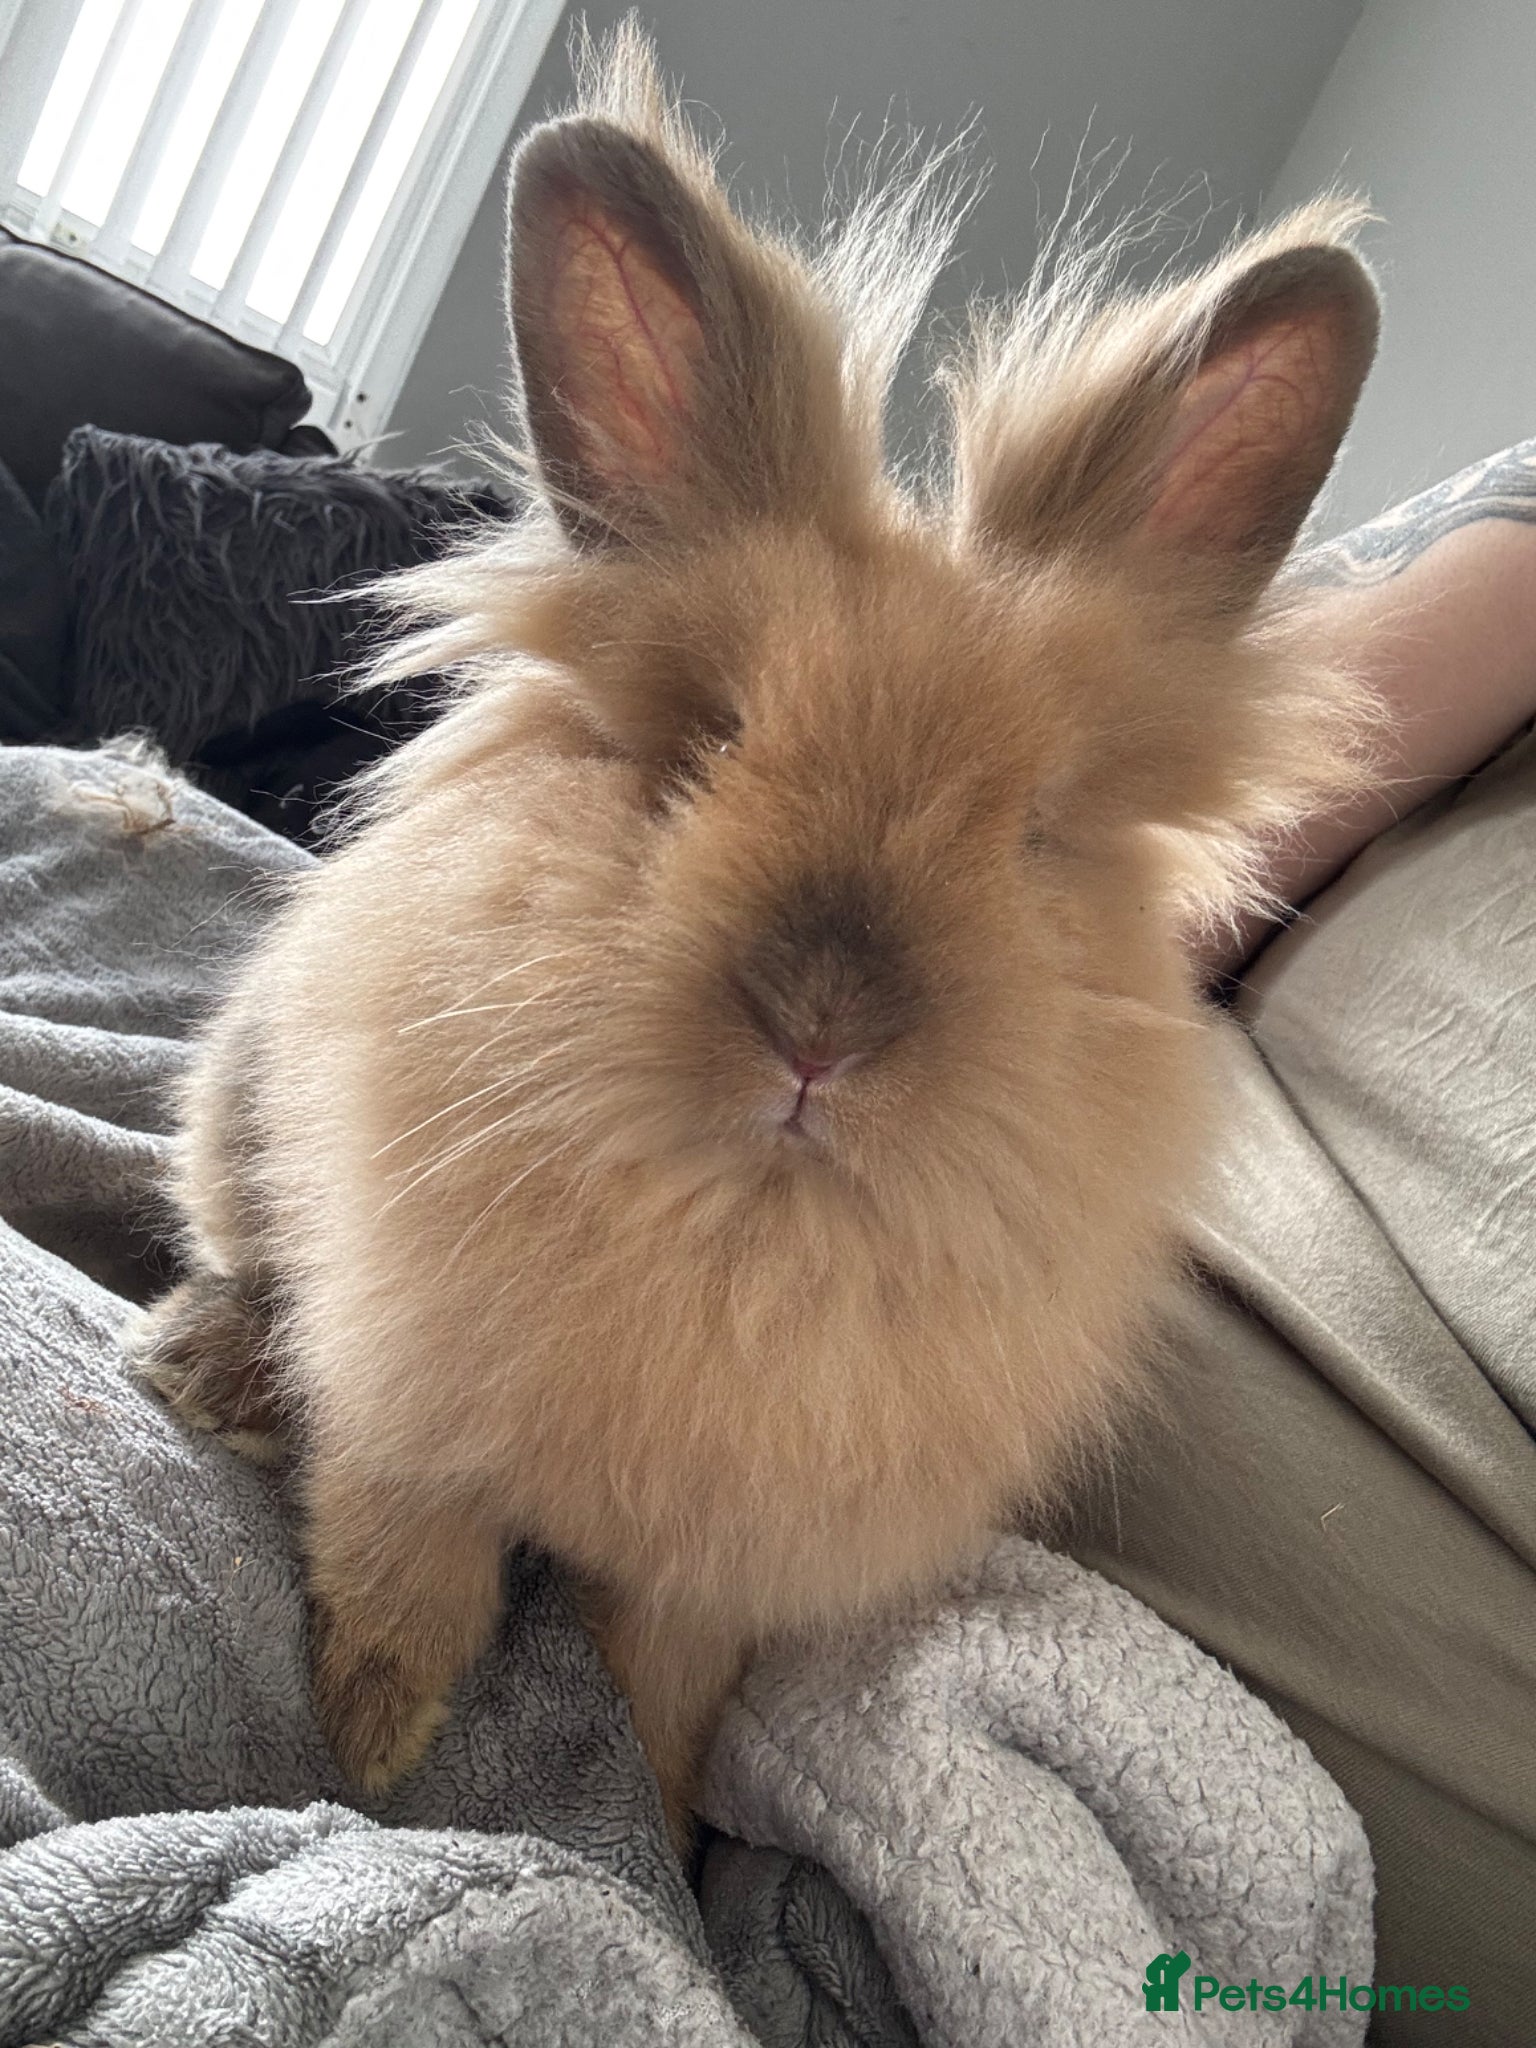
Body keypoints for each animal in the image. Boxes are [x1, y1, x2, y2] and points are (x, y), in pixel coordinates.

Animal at [135, 23, 1379, 1850]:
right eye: (706, 742)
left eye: (1034, 831)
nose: (821, 1027)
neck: (746, 1226)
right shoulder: (404, 1412)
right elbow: (401, 1569)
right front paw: (373, 1741)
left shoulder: (712, 1573)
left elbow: (664, 1693)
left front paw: (662, 1818)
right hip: (231, 1121)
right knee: (234, 1258)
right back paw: (203, 1369)